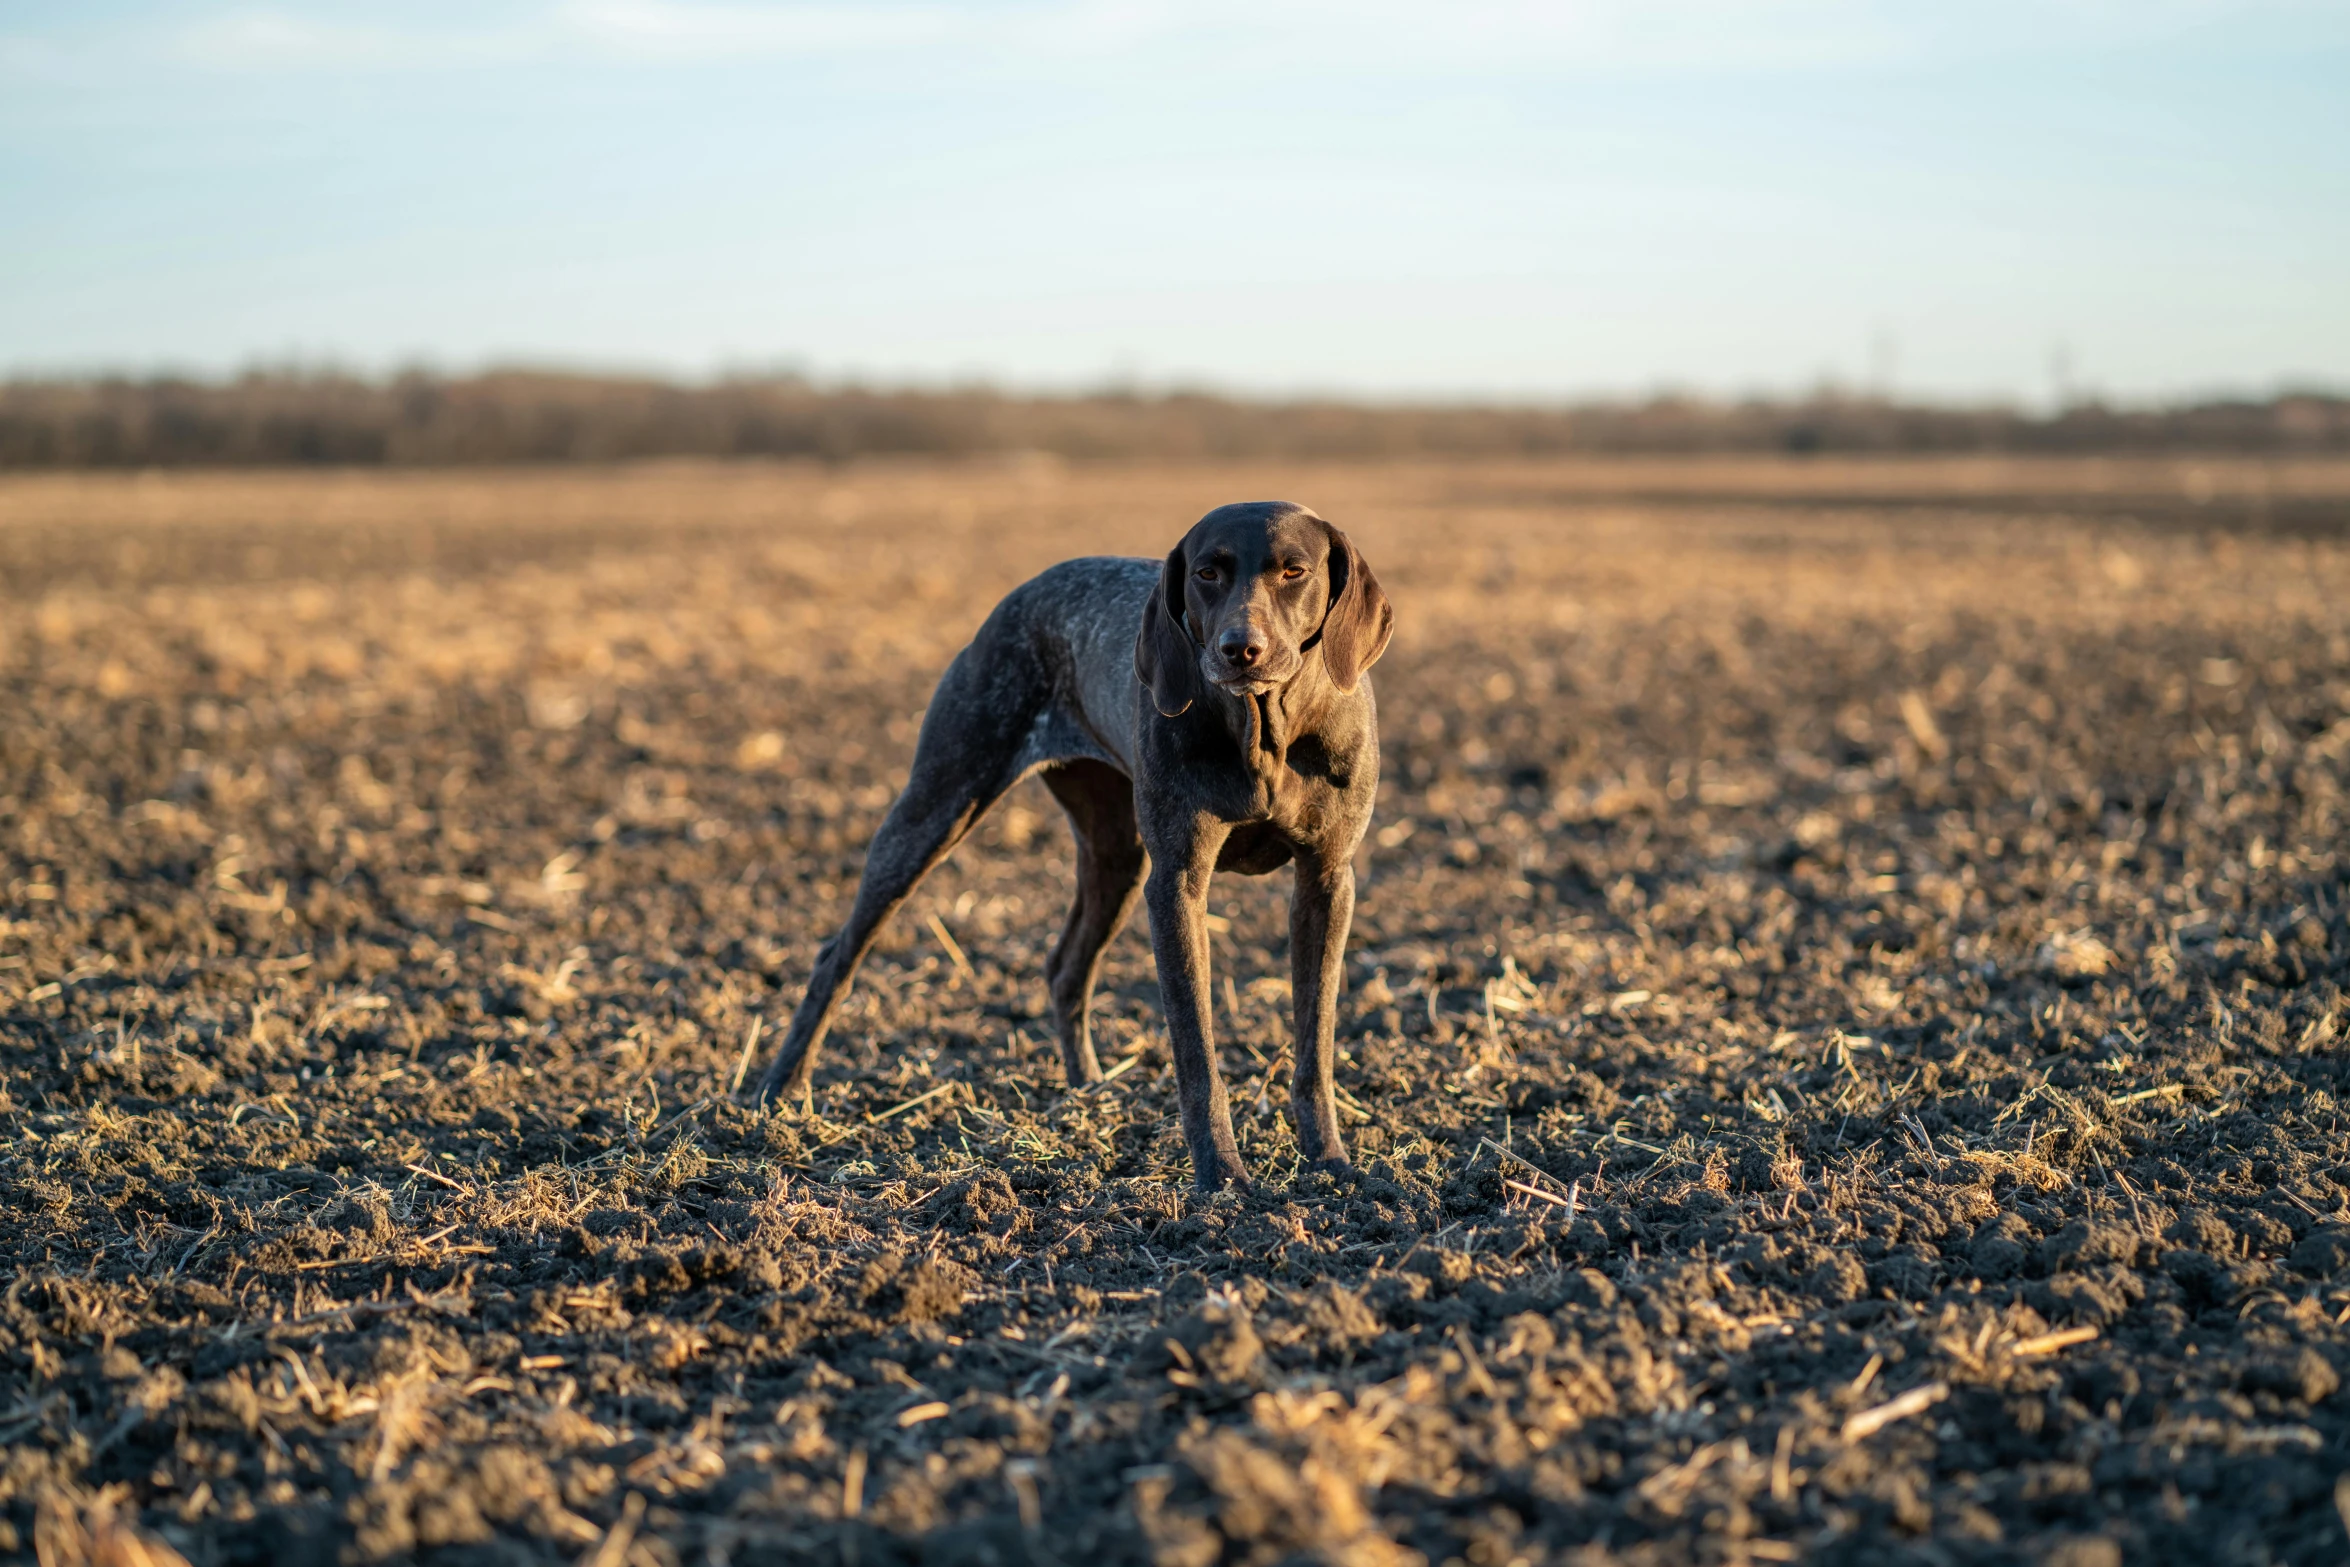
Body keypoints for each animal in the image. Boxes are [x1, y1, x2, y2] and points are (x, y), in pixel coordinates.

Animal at [752, 502, 1381, 1188]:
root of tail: (1029, 591)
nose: (1239, 649)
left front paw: (1330, 1163)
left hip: (1117, 858)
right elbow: (1196, 1052)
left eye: (1294, 571)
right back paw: (780, 1094)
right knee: (837, 956)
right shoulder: (1178, 885)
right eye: (1208, 573)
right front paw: (1222, 1177)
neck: (1265, 730)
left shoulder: (1326, 882)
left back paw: (1089, 1093)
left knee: (1067, 968)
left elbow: (1315, 1044)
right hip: (934, 809)